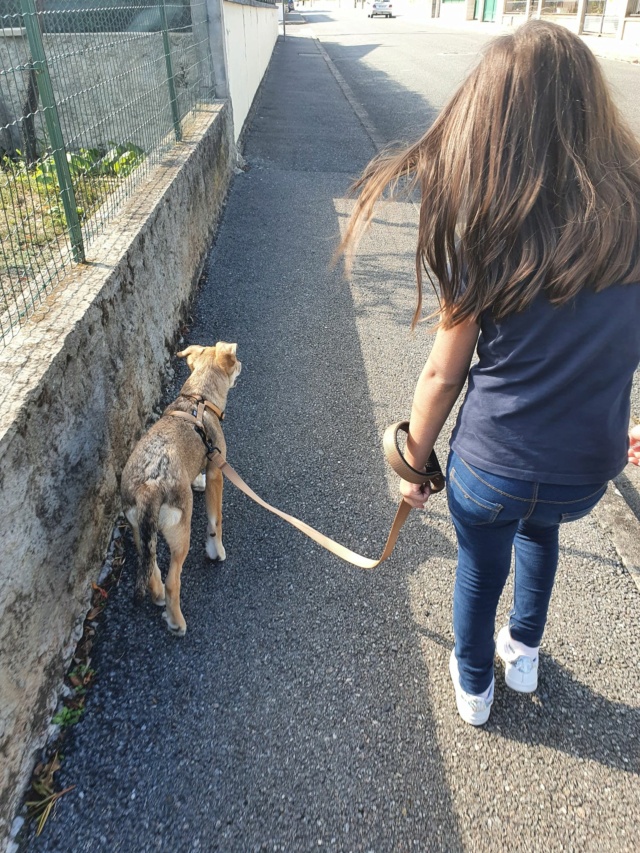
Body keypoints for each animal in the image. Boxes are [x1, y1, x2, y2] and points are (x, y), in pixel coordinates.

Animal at [120, 342, 240, 632]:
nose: (242, 365)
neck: (199, 398)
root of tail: (148, 488)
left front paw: (196, 482)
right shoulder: (217, 470)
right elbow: (215, 521)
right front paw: (216, 552)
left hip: (140, 530)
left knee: (152, 569)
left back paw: (158, 596)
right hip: (180, 533)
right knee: (173, 581)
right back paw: (176, 622)